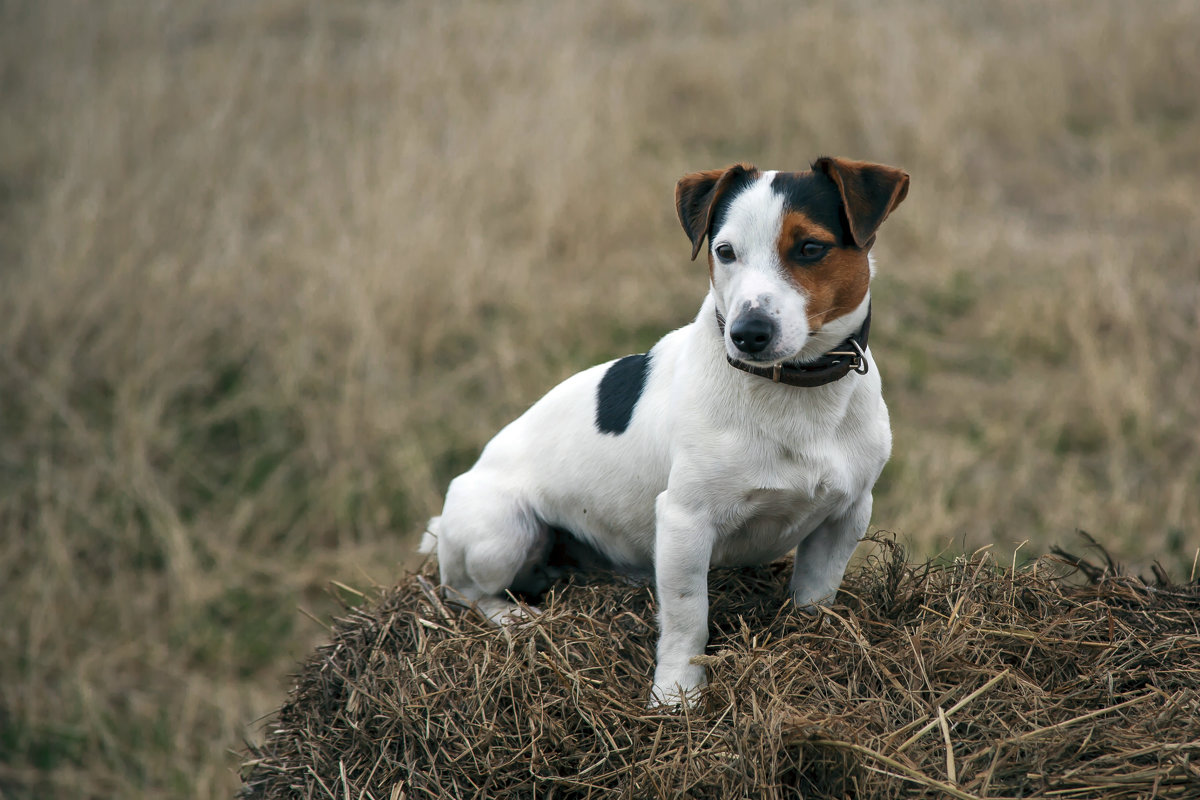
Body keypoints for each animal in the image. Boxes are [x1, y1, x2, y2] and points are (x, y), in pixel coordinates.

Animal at [427, 155, 902, 705]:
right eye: (724, 251)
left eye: (810, 248)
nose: (747, 334)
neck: (792, 392)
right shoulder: (684, 521)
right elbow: (687, 618)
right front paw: (676, 696)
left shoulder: (847, 513)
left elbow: (816, 596)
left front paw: (811, 644)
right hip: (500, 533)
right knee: (464, 592)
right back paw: (515, 618)